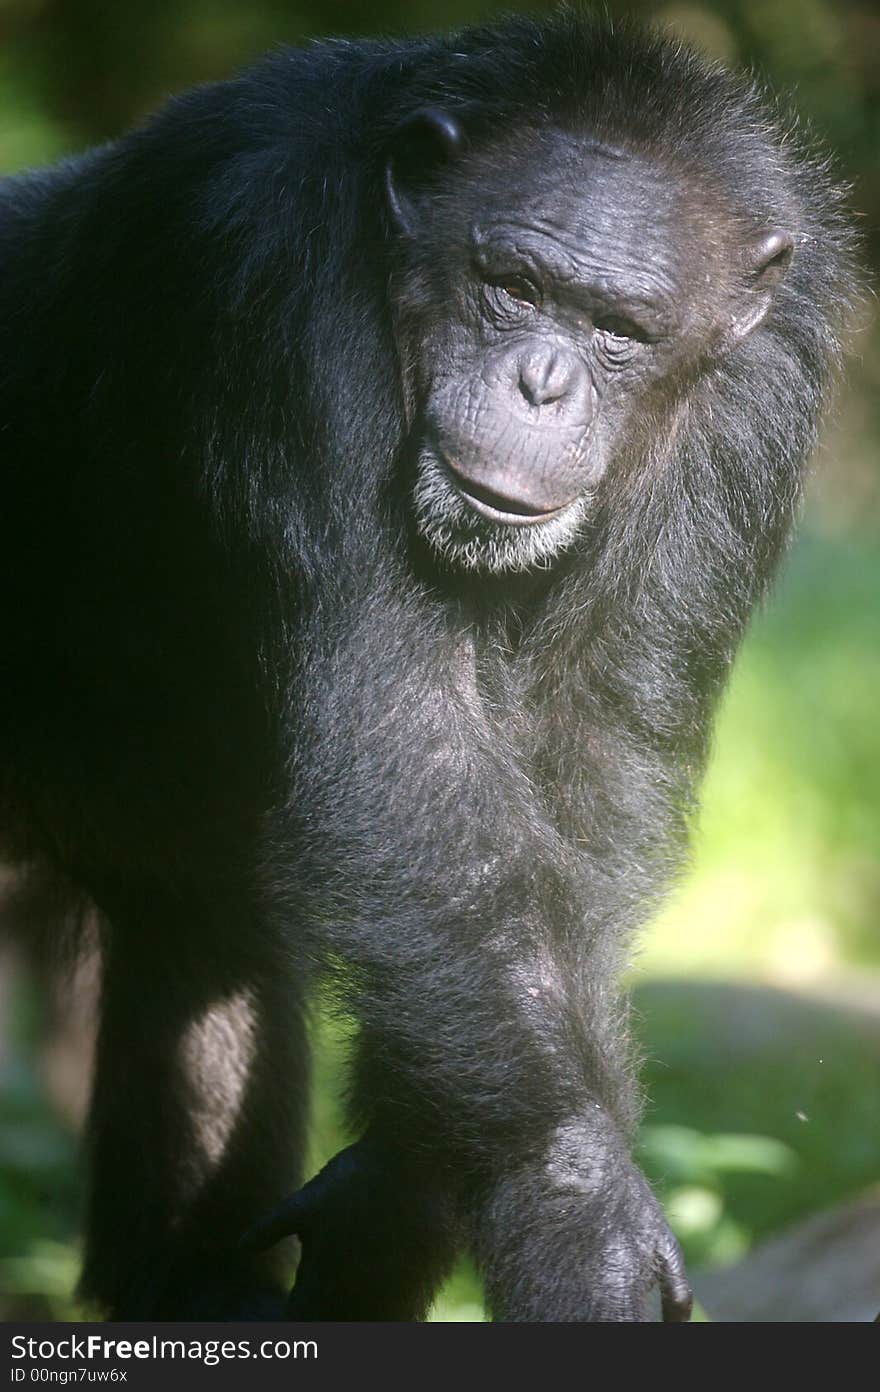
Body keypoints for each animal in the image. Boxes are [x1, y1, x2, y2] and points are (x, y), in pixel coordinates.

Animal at [0, 8, 857, 1314]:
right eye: (512, 285)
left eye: (618, 332)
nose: (542, 382)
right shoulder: (280, 286)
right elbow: (404, 742)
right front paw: (576, 1203)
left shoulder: (760, 405)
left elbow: (584, 768)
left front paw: (402, 1182)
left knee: (199, 946)